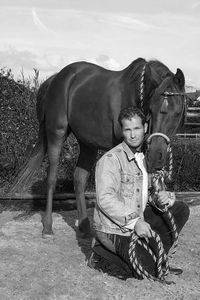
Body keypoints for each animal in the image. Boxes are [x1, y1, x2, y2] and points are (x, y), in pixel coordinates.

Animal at [9, 58, 186, 237]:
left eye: (177, 112)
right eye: (151, 109)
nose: (157, 156)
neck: (136, 95)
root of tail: (55, 79)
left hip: (88, 144)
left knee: (79, 179)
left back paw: (85, 227)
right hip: (56, 133)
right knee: (51, 178)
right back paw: (48, 227)